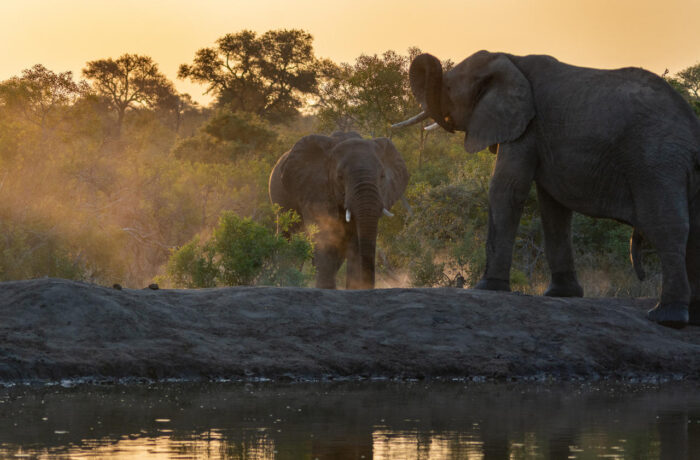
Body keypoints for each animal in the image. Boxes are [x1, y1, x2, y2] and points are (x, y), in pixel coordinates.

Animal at [268, 132, 410, 288]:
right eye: (340, 177)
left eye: (382, 176)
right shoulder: (316, 190)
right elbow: (325, 236)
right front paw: (326, 289)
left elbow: (355, 242)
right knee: (288, 237)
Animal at [394, 51, 700, 328]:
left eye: (447, 89)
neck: (508, 58)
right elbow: (553, 208)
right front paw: (560, 294)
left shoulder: (526, 127)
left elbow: (507, 188)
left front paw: (487, 287)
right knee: (693, 234)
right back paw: (692, 317)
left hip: (656, 161)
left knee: (665, 226)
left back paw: (667, 317)